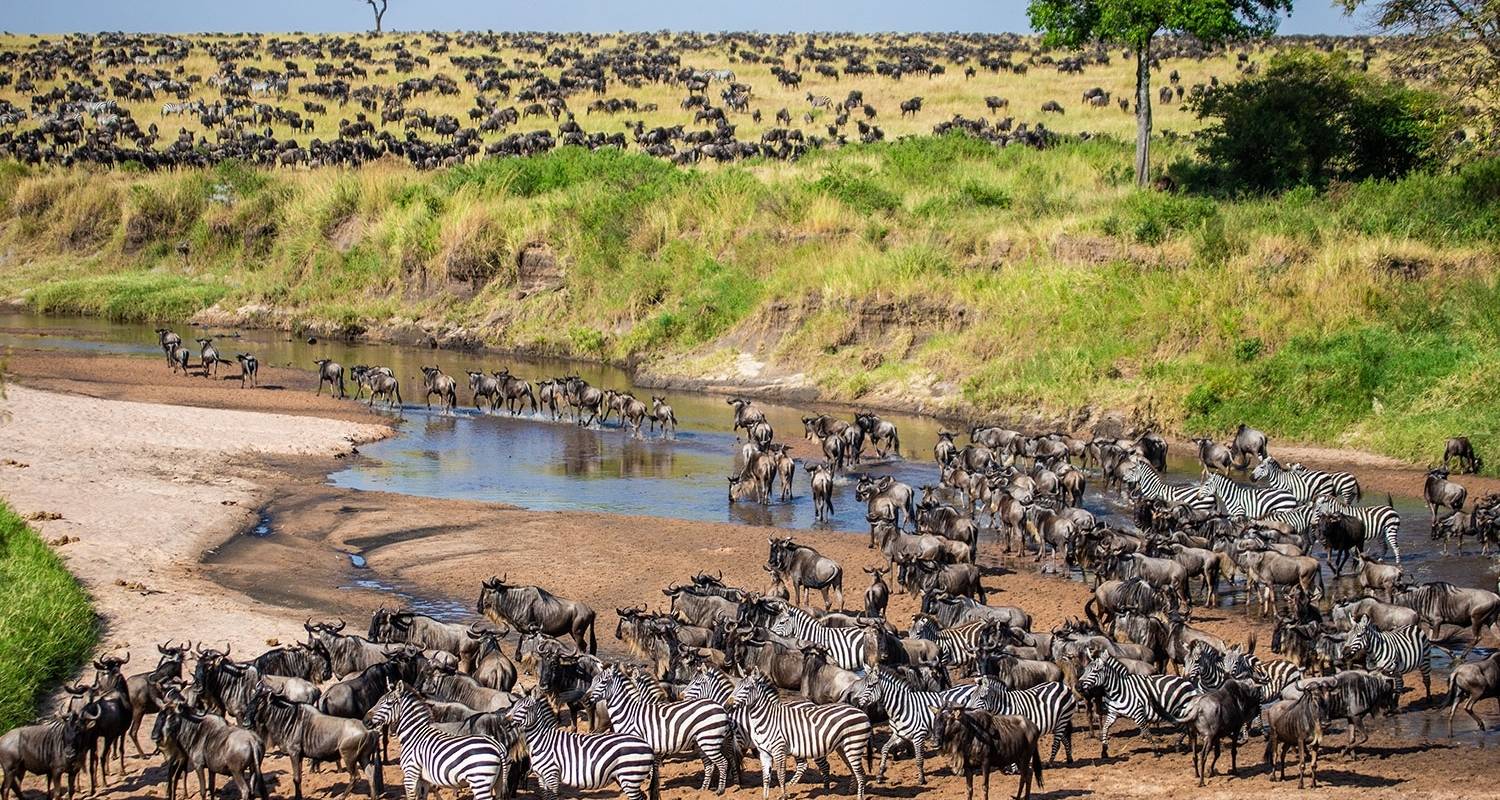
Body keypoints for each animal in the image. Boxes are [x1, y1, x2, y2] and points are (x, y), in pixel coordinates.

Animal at [363, 684, 510, 800]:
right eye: (378, 701)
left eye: (388, 703)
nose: (365, 721)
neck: (413, 734)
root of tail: (497, 746)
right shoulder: (423, 779)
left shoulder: (410, 774)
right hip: (497, 782)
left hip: (480, 780)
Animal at [504, 690, 657, 798]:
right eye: (514, 706)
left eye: (527, 707)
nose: (506, 721)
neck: (543, 741)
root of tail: (647, 745)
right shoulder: (542, 777)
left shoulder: (552, 775)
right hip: (627, 778)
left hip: (630, 776)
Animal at [582, 663, 729, 786]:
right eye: (592, 681)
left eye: (603, 682)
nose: (583, 700)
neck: (629, 711)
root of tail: (717, 705)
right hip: (702, 742)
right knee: (711, 764)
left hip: (709, 740)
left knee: (722, 762)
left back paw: (720, 790)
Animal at [729, 666, 876, 798]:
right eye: (735, 687)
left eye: (746, 688)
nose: (727, 705)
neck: (765, 718)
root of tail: (861, 712)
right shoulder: (764, 752)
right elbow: (765, 777)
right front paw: (765, 796)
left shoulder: (779, 750)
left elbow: (780, 774)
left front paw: (784, 795)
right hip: (843, 748)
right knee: (853, 770)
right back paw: (846, 791)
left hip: (852, 745)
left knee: (860, 774)